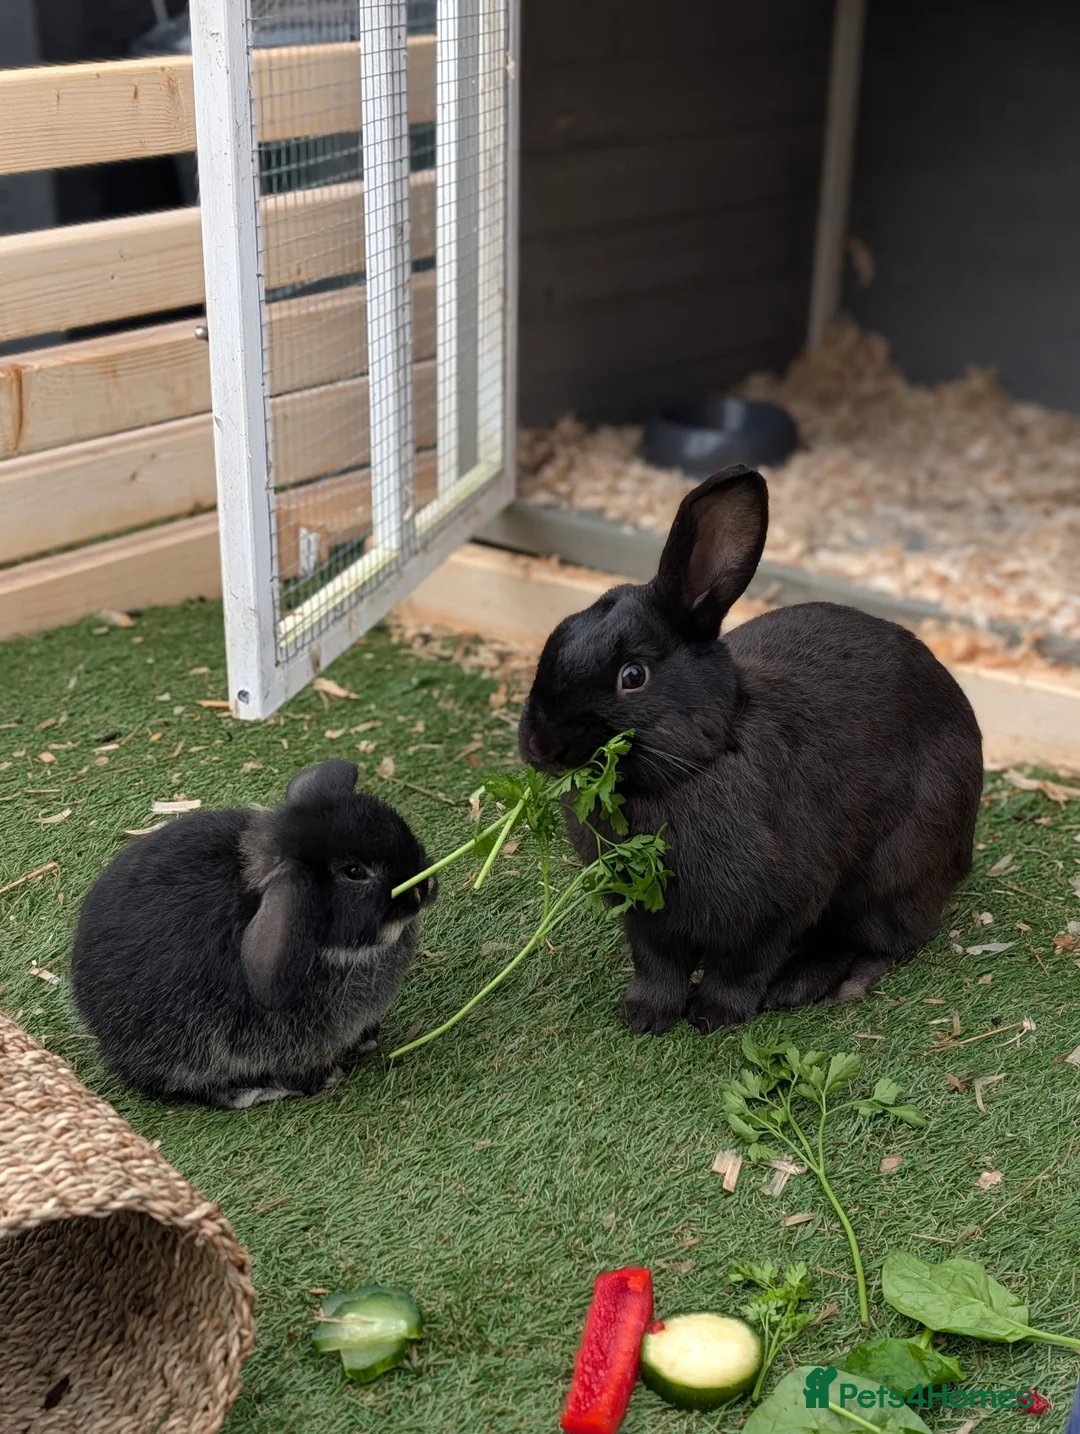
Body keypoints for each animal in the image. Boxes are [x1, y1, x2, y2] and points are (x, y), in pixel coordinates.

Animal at [517, 465, 983, 1035]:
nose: (539, 744)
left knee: (883, 938)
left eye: (633, 676)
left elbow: (739, 967)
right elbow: (657, 965)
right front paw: (646, 1016)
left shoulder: (773, 909)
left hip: (891, 871)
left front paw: (713, 1015)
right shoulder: (647, 917)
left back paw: (813, 984)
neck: (702, 758)